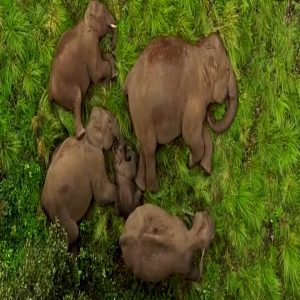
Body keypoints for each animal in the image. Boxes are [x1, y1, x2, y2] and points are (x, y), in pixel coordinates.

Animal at [41, 106, 120, 247]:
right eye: (110, 121)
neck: (86, 134)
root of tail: (43, 203)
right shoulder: (95, 157)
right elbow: (101, 194)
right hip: (60, 214)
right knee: (73, 234)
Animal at [48, 0, 116, 139]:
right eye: (104, 11)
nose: (112, 46)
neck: (84, 21)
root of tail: (51, 92)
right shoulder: (90, 43)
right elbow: (96, 73)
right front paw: (108, 80)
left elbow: (104, 58)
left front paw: (111, 75)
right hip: (67, 90)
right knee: (77, 100)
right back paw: (81, 134)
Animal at [123, 32, 238, 192]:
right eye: (227, 70)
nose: (211, 113)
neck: (199, 50)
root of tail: (127, 83)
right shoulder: (194, 98)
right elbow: (189, 134)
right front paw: (190, 163)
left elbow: (201, 132)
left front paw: (205, 168)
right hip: (141, 111)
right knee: (150, 148)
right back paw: (154, 188)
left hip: (134, 113)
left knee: (143, 145)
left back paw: (140, 185)